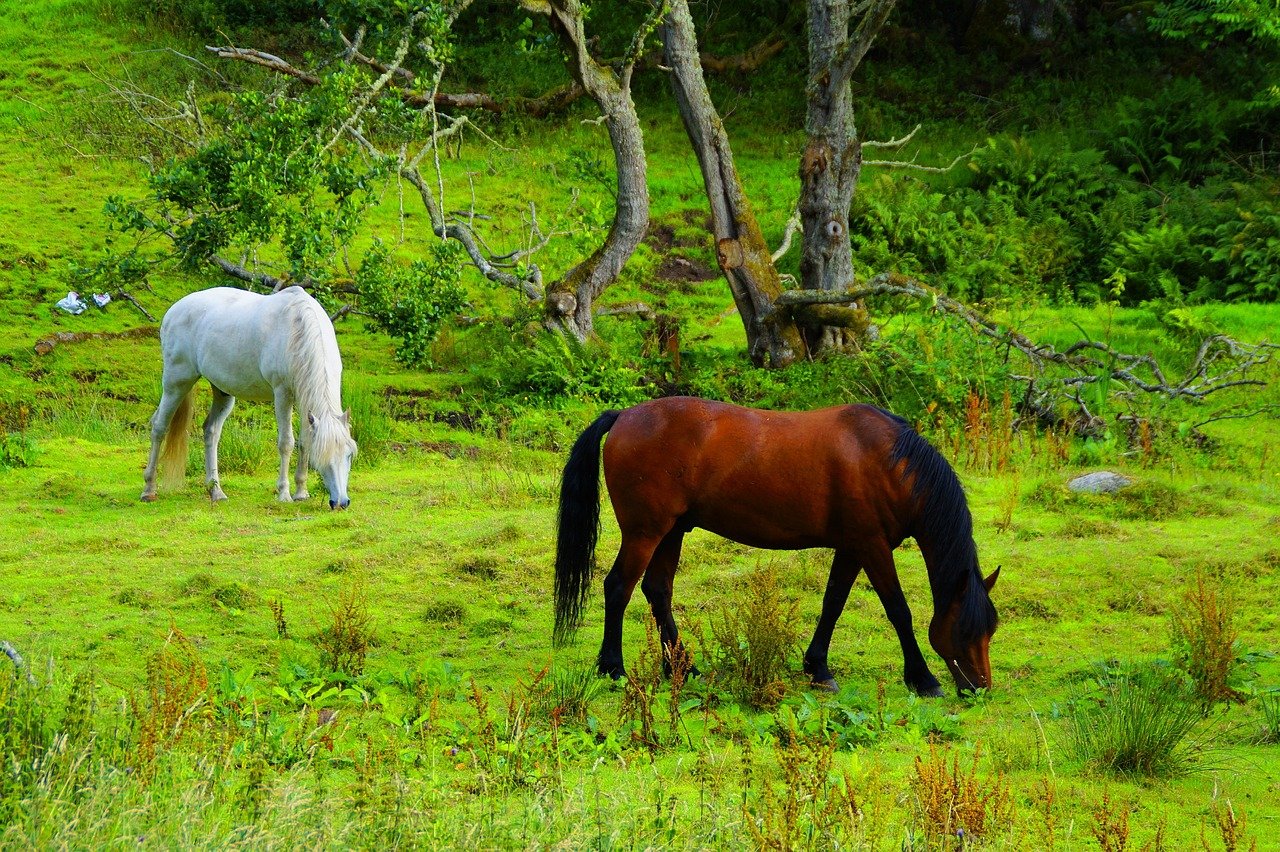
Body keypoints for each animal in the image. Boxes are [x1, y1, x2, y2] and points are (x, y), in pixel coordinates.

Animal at [141, 286, 357, 509]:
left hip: (222, 392)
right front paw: (284, 493)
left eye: (349, 454)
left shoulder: (304, 399)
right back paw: (149, 489)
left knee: (211, 431)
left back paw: (216, 491)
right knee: (159, 427)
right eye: (324, 457)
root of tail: (173, 311)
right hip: (176, 382)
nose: (341, 502)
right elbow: (286, 442)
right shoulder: (282, 394)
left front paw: (301, 492)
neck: (298, 328)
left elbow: (304, 442)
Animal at [554, 396, 999, 696]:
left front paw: (818, 668)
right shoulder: (872, 546)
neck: (888, 461)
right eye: (965, 629)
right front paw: (922, 679)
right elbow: (899, 611)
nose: (979, 686)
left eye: (990, 629)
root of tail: (624, 416)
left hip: (672, 531)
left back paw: (681, 667)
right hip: (645, 532)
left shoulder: (852, 546)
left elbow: (833, 603)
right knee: (618, 588)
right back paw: (613, 668)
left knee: (657, 591)